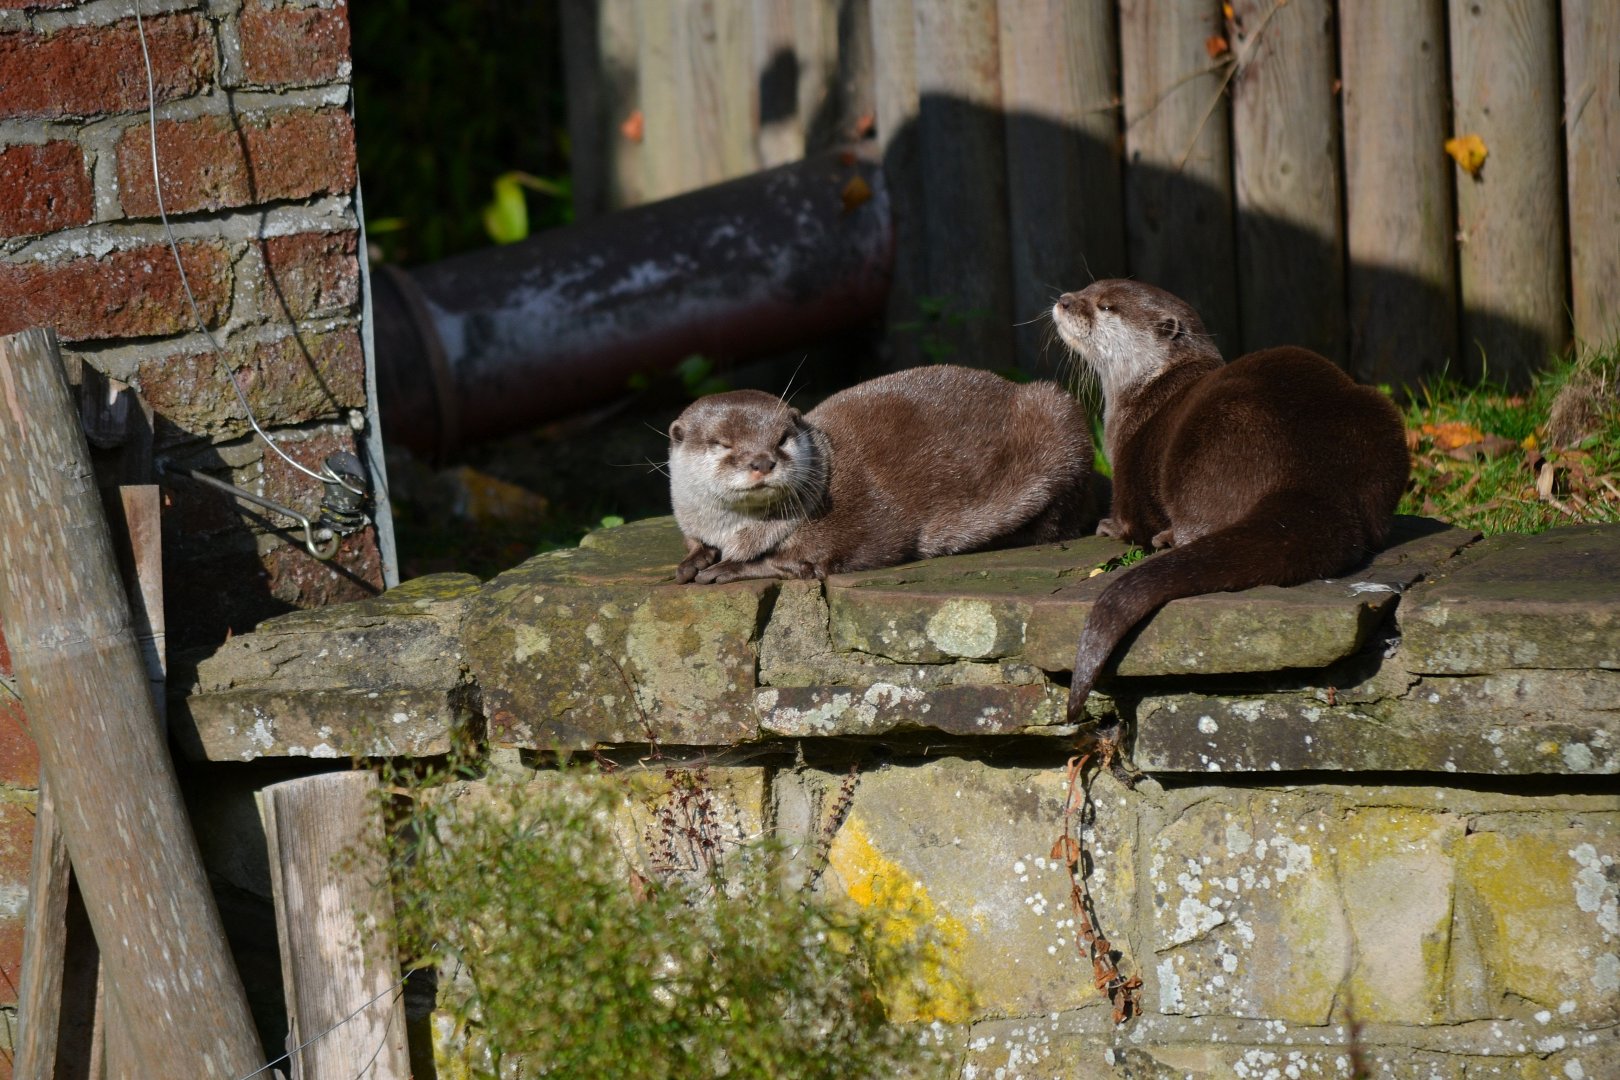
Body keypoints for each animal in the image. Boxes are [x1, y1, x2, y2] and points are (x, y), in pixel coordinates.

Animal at [669, 365, 1099, 584]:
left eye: (782, 438)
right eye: (723, 443)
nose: (762, 461)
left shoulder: (859, 526)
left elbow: (811, 563)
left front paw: (729, 568)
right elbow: (695, 543)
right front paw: (695, 559)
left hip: (1061, 419)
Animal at [1052, 279, 1410, 722]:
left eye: (1104, 306)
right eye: (1089, 286)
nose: (1064, 300)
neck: (1148, 389)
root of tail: (1309, 478)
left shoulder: (1128, 465)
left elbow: (1130, 521)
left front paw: (1108, 527)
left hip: (1212, 437)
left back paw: (1168, 537)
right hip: (1381, 418)